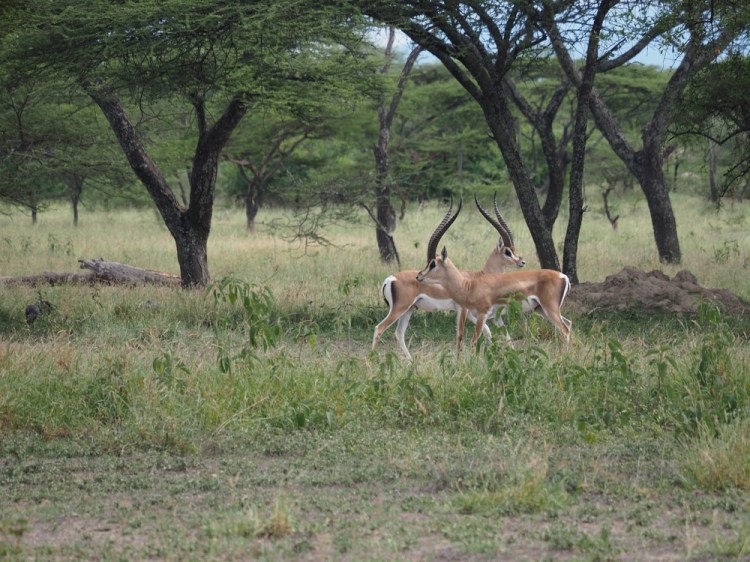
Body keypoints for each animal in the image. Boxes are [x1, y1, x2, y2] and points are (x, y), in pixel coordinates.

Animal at [372, 194, 526, 360]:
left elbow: (494, 333)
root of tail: (390, 279)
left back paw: (411, 361)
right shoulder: (465, 310)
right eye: (507, 252)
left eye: (513, 249)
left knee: (399, 333)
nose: (522, 262)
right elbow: (467, 333)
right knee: (379, 328)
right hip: (399, 309)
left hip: (408, 310)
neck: (478, 277)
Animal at [416, 200, 572, 354]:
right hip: (541, 310)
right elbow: (500, 339)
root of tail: (563, 276)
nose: (419, 276)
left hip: (549, 309)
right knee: (568, 324)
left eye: (433, 264)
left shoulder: (481, 315)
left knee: (564, 330)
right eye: (508, 251)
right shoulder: (490, 318)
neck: (469, 285)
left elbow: (473, 341)